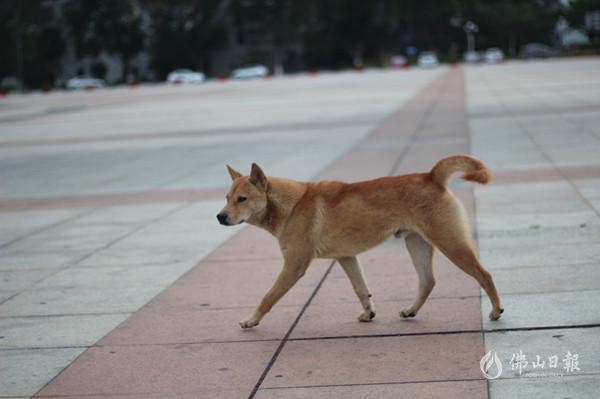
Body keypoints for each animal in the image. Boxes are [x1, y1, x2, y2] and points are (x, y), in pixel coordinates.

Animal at [218, 155, 504, 330]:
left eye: (242, 199)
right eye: (226, 197)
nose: (220, 216)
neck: (292, 205)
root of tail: (432, 176)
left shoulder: (293, 266)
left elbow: (268, 296)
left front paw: (251, 319)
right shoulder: (346, 257)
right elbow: (361, 289)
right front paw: (369, 313)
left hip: (450, 242)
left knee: (484, 274)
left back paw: (496, 310)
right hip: (417, 244)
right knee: (428, 281)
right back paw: (411, 310)